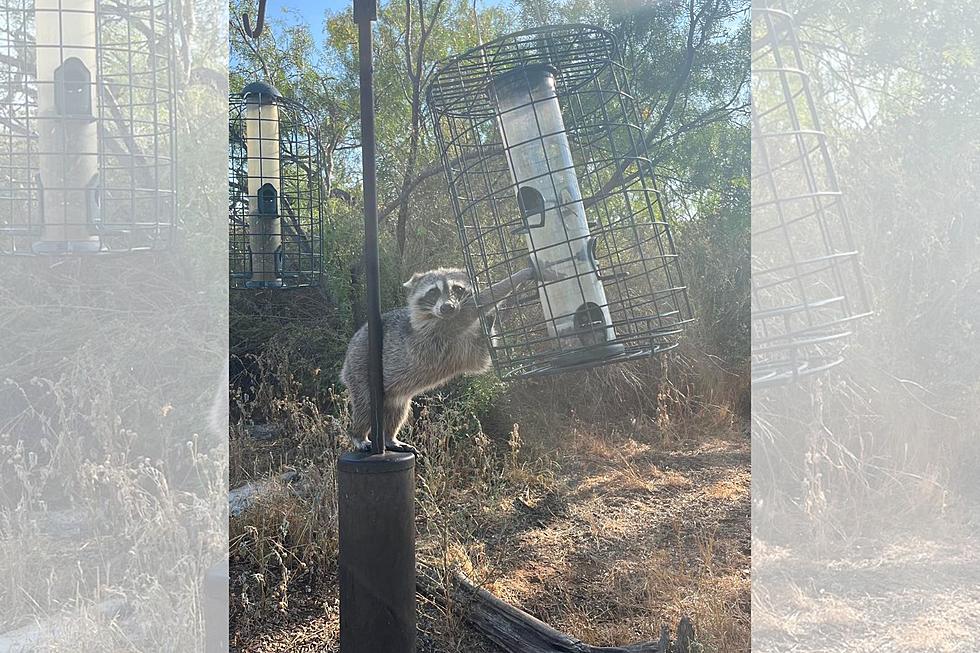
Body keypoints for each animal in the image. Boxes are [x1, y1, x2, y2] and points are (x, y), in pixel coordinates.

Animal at [340, 264, 544, 454]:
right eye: (433, 292)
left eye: (457, 289)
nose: (447, 307)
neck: (435, 314)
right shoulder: (433, 331)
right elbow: (473, 308)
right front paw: (517, 278)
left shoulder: (463, 348)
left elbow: (481, 355)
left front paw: (497, 314)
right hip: (360, 366)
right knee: (365, 406)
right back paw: (358, 435)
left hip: (393, 394)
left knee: (397, 411)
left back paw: (390, 437)